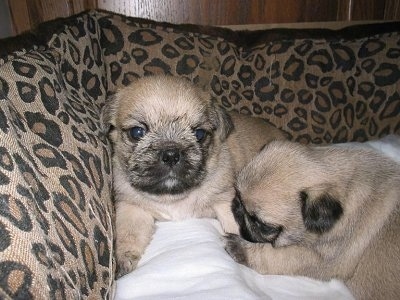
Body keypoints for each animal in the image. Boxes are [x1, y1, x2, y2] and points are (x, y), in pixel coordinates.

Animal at [101, 75, 286, 278]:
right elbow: (128, 235)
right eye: (137, 132)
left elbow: (235, 225)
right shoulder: (133, 208)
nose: (171, 154)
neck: (173, 197)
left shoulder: (225, 201)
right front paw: (121, 261)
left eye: (199, 134)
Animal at [225, 141, 400, 300]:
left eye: (263, 225)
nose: (237, 206)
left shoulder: (323, 259)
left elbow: (276, 257)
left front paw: (240, 248)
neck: (346, 188)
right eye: (237, 194)